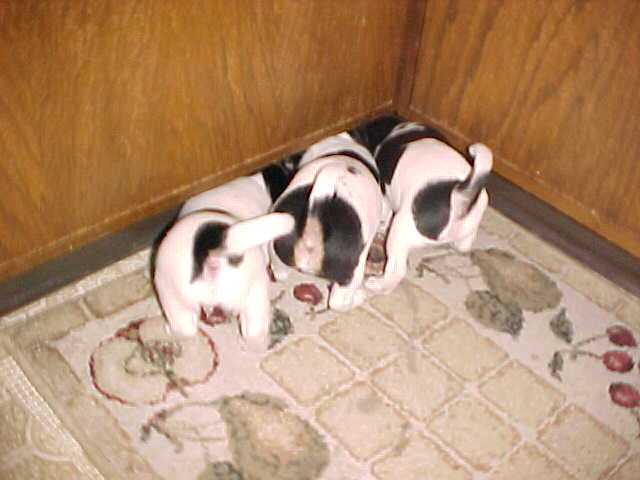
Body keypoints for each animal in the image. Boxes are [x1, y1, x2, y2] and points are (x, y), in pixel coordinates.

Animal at [154, 167, 294, 350]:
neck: (258, 181)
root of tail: (212, 247)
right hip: (253, 292)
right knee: (253, 333)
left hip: (173, 297)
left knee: (185, 328)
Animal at [360, 119, 496, 292]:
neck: (398, 129)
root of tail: (458, 196)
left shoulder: (386, 196)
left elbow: (385, 215)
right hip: (469, 230)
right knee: (464, 246)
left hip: (399, 233)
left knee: (397, 271)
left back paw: (378, 284)